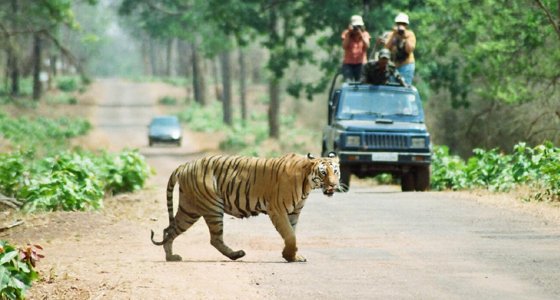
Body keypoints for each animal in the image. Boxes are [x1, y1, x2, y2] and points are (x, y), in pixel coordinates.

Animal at [151, 152, 340, 262]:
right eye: (323, 173)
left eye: (336, 171)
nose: (334, 184)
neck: (307, 183)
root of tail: (186, 165)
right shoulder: (278, 210)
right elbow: (290, 235)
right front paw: (289, 256)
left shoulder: (294, 212)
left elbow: (292, 234)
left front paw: (291, 256)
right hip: (212, 207)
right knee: (215, 239)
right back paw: (236, 255)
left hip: (189, 209)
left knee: (169, 229)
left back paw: (170, 256)